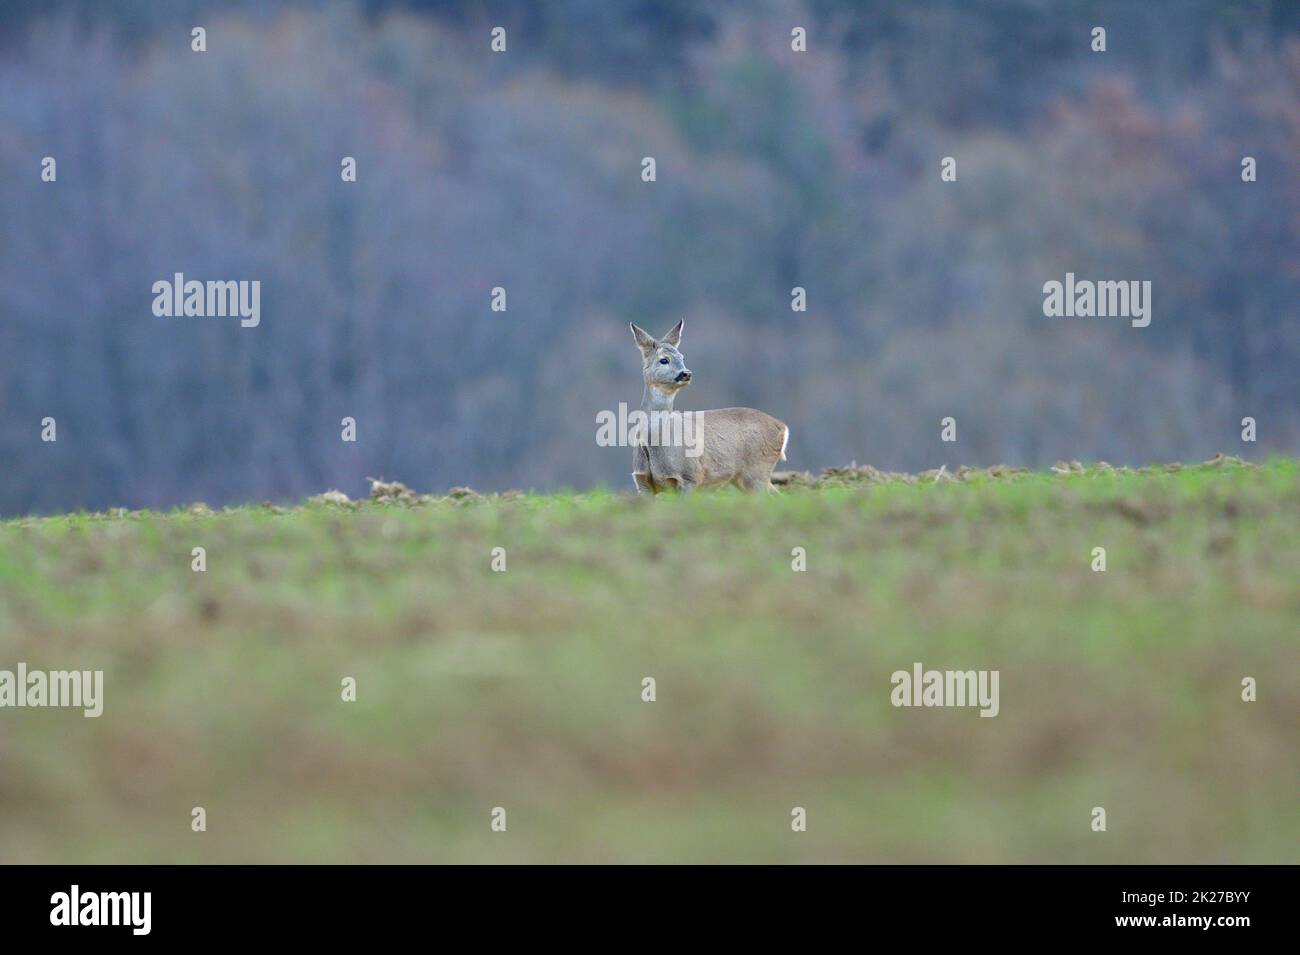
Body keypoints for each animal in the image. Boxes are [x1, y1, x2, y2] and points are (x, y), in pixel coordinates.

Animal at [629, 319, 789, 494]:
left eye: (682, 357)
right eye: (664, 360)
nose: (686, 373)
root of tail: (782, 426)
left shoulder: (690, 476)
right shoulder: (642, 482)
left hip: (757, 469)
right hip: (743, 478)